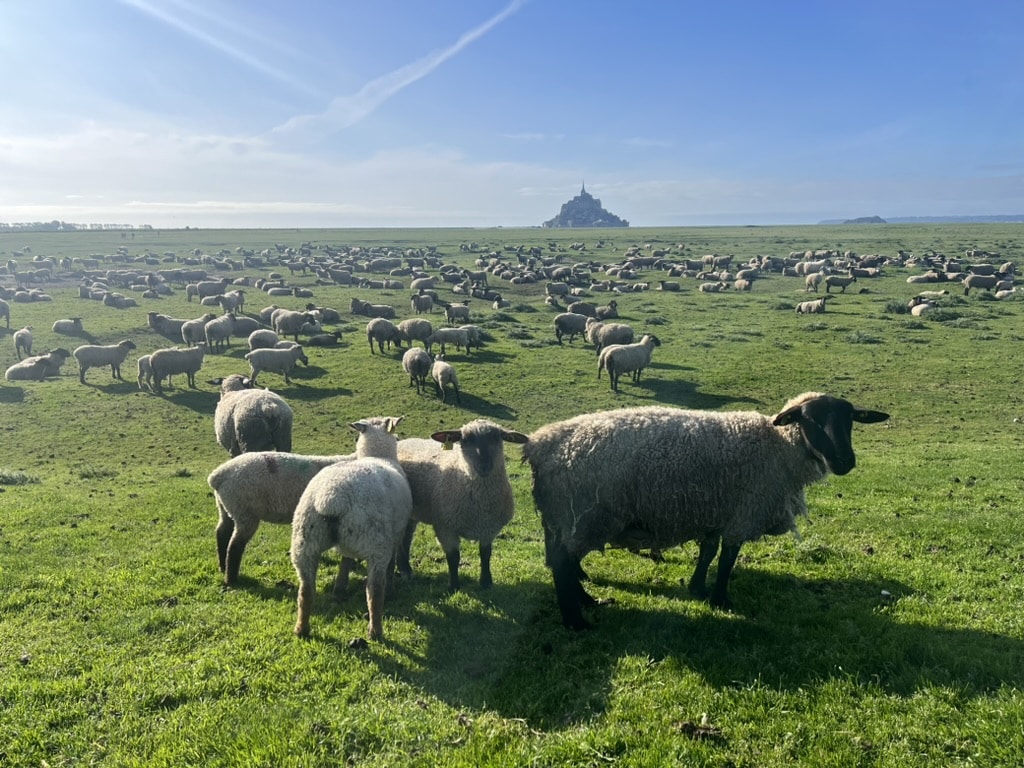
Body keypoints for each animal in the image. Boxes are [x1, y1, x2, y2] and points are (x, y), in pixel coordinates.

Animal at [210, 416, 404, 586]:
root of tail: (218, 475)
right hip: (245, 512)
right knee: (235, 545)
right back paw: (232, 579)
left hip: (226, 508)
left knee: (222, 532)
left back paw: (222, 566)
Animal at [291, 421, 412, 640]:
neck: (379, 454)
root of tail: (332, 496)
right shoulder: (396, 535)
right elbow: (390, 566)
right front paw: (391, 589)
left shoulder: (348, 545)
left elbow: (345, 561)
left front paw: (339, 588)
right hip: (376, 543)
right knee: (374, 590)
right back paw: (375, 631)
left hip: (305, 542)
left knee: (306, 590)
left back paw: (301, 629)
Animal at [396, 419, 528, 592]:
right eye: (465, 440)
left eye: (497, 438)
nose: (484, 466)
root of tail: (404, 441)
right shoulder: (445, 528)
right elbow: (453, 558)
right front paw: (453, 586)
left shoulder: (489, 528)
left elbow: (485, 554)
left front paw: (486, 582)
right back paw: (405, 570)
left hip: (413, 511)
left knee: (406, 537)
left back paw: (405, 568)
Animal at [521, 392, 890, 629]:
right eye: (810, 420)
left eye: (850, 420)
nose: (845, 461)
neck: (778, 447)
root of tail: (540, 444)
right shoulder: (743, 511)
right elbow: (727, 559)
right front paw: (721, 600)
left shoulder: (716, 510)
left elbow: (709, 552)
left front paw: (698, 588)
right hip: (583, 515)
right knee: (563, 565)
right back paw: (576, 621)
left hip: (562, 519)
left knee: (562, 561)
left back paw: (585, 600)